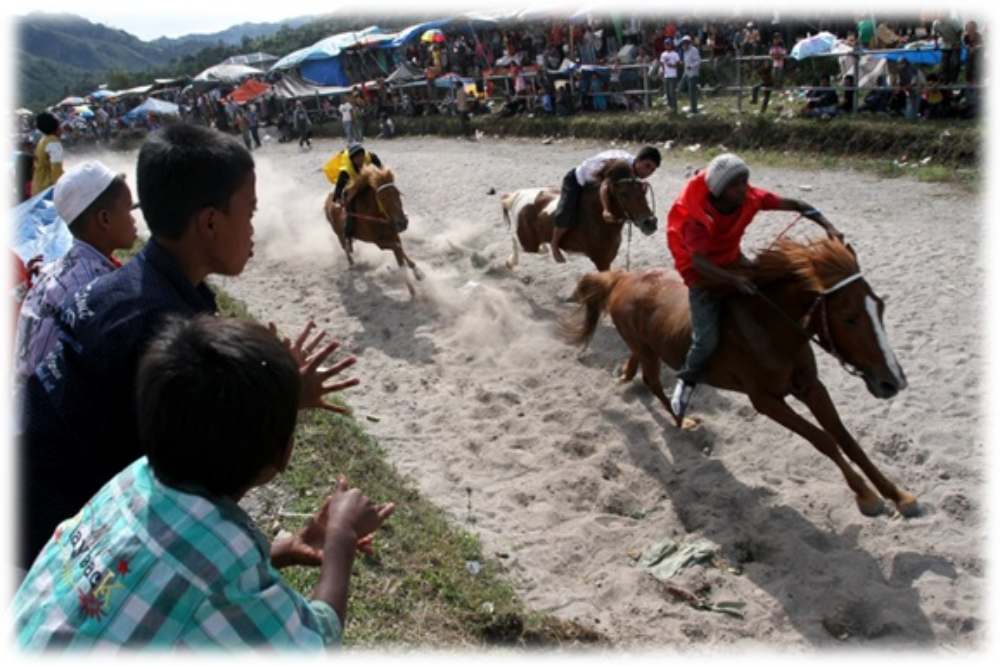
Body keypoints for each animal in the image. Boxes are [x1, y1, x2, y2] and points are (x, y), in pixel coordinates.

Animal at [324, 163, 422, 296]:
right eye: (382, 198)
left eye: (397, 193)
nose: (402, 223)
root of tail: (327, 200)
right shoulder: (380, 243)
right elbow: (398, 250)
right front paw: (412, 282)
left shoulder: (394, 235)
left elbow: (400, 251)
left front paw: (417, 273)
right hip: (338, 233)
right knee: (345, 247)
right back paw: (352, 264)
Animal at [498, 160, 656, 272]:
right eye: (623, 194)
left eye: (643, 191)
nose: (650, 223)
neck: (599, 219)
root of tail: (518, 195)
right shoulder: (602, 261)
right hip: (528, 243)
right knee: (516, 242)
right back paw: (510, 262)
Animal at [560, 237, 916, 520]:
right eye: (849, 318)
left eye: (880, 307)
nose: (892, 382)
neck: (771, 328)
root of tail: (621, 278)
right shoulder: (766, 400)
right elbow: (823, 439)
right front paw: (866, 496)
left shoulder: (812, 387)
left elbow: (844, 437)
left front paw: (899, 495)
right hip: (648, 350)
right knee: (652, 381)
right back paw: (681, 419)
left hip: (645, 346)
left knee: (640, 369)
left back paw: (628, 376)